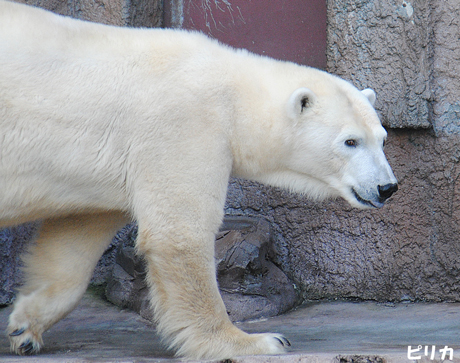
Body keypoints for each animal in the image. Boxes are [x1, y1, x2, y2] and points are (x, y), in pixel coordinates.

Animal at [0, 0, 398, 358]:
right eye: (350, 141)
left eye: (381, 138)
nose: (387, 187)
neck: (233, 93)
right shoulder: (183, 125)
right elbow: (179, 235)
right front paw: (256, 342)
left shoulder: (110, 163)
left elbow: (76, 236)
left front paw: (25, 328)